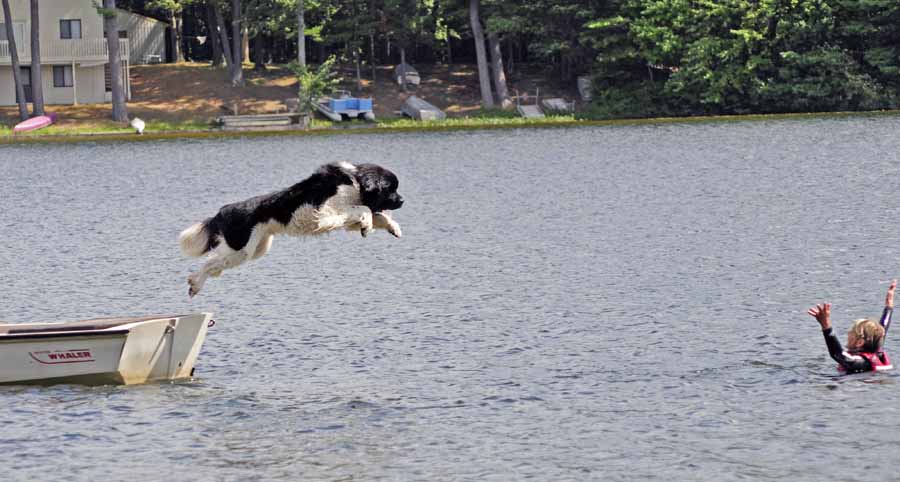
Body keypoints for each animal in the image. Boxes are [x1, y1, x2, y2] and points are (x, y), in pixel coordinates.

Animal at [179, 164, 404, 296]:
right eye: (391, 188)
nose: (402, 200)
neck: (355, 180)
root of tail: (223, 210)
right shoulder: (323, 213)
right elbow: (364, 209)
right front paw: (368, 225)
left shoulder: (343, 217)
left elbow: (376, 214)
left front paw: (392, 228)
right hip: (241, 249)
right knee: (210, 263)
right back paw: (195, 283)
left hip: (255, 250)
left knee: (215, 264)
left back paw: (197, 284)